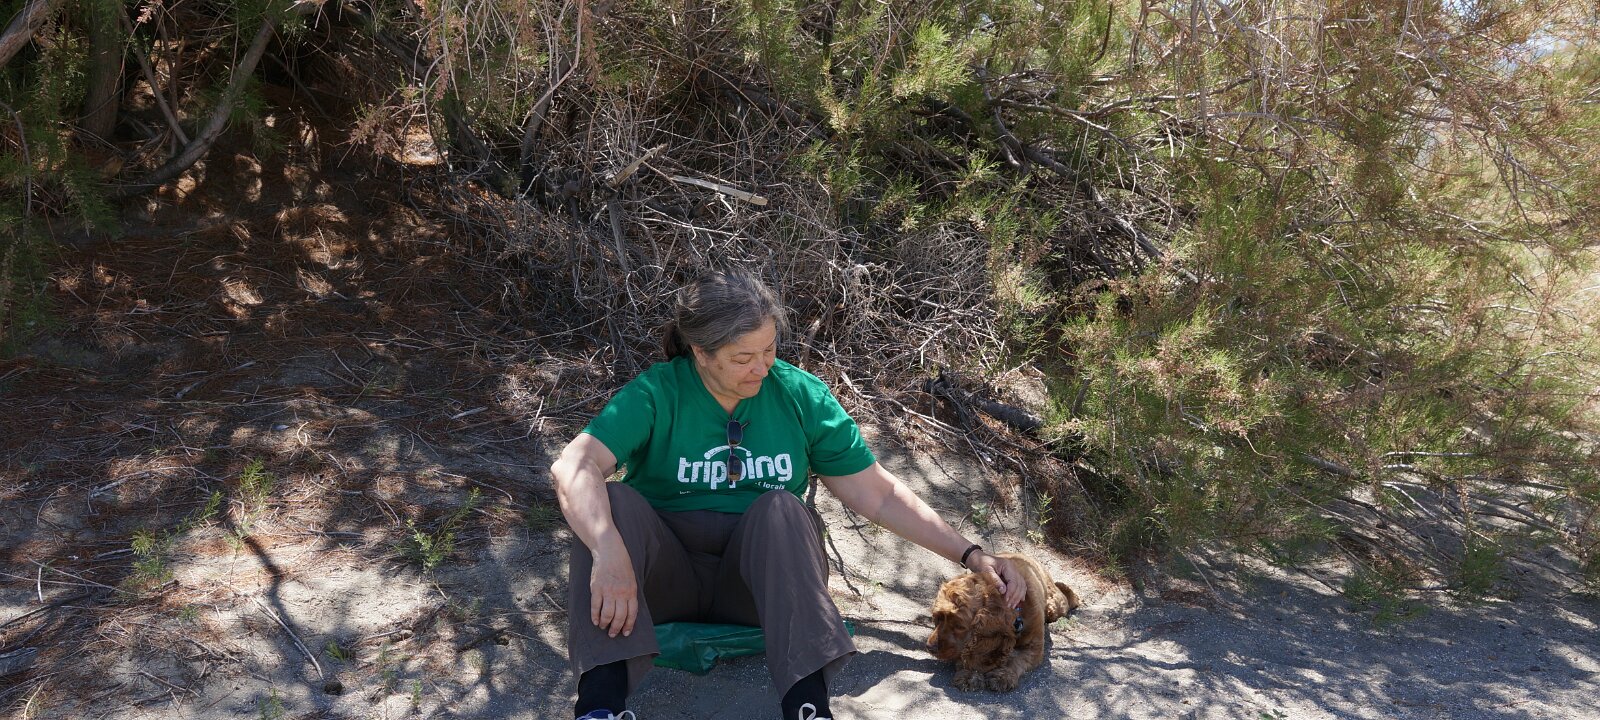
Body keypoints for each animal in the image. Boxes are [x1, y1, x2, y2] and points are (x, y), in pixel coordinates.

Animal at [926, 552, 1080, 691]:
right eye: (937, 618)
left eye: (959, 626)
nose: (929, 647)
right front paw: (970, 674)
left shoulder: (1035, 648)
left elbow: (1017, 659)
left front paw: (1003, 676)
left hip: (1054, 606)